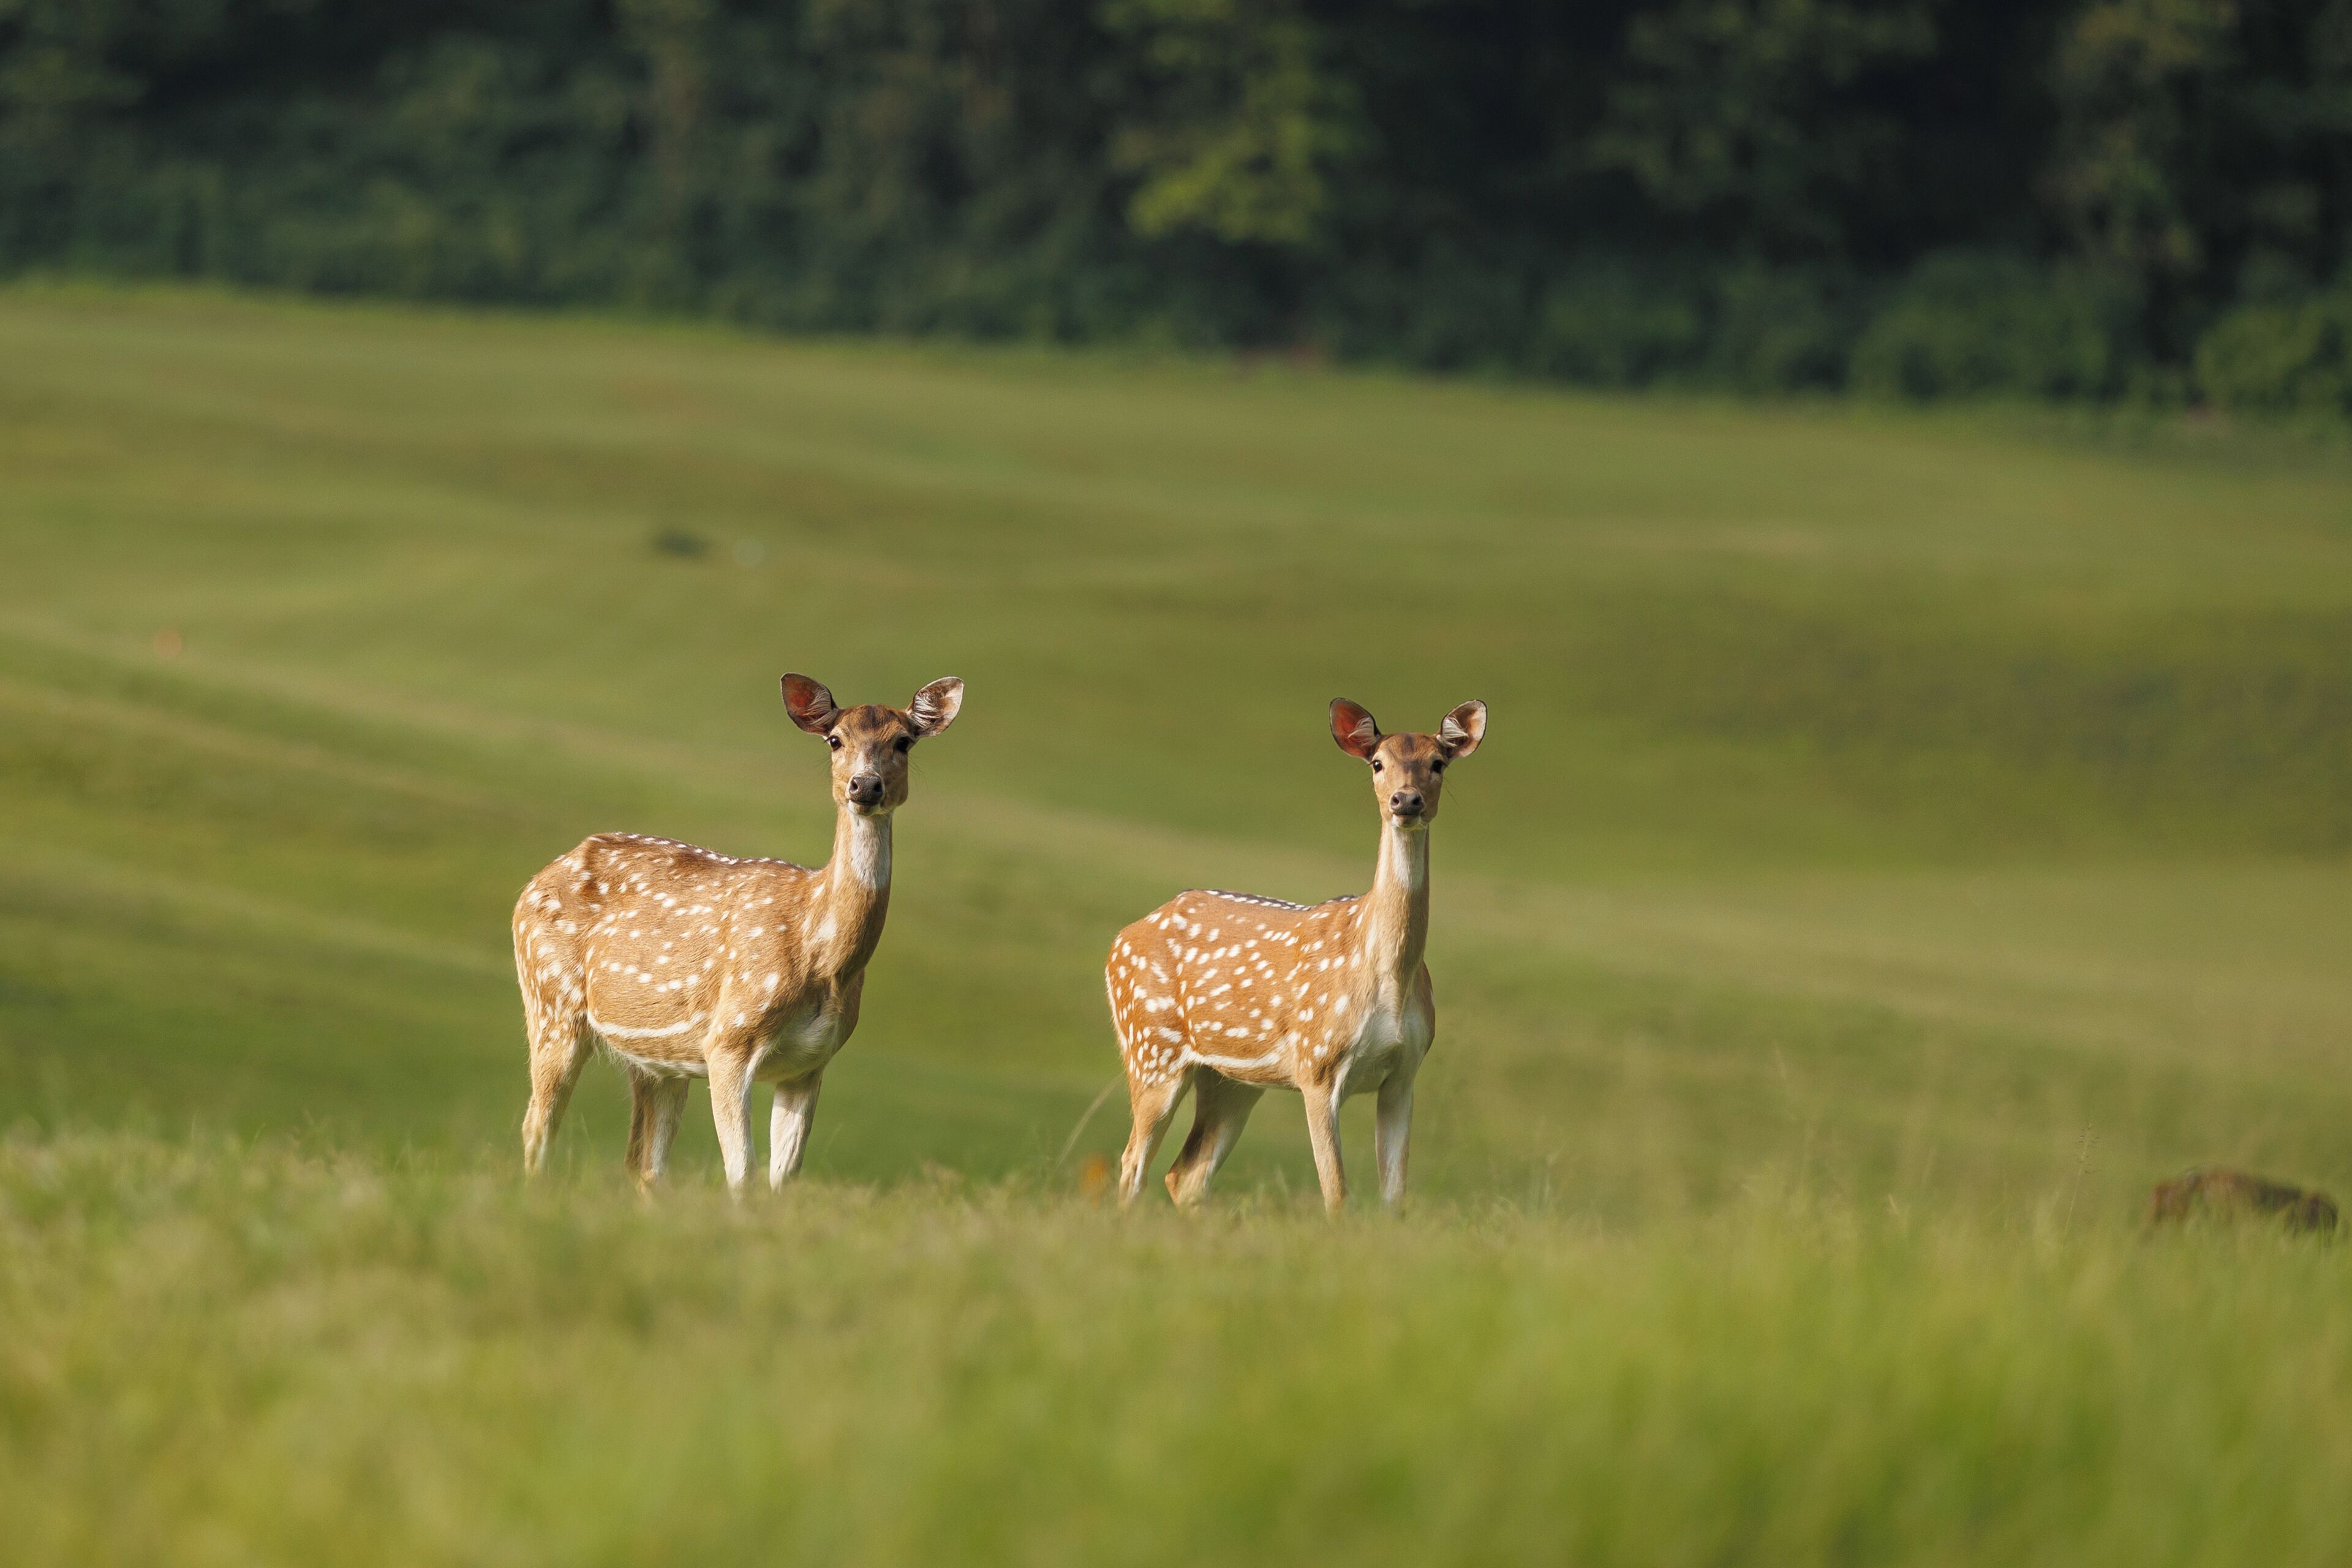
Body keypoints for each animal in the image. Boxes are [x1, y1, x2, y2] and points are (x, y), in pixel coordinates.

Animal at [512, 674, 963, 1194]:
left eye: (903, 741)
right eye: (835, 740)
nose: (865, 785)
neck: (817, 953)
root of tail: (533, 883)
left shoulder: (812, 1063)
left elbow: (782, 1178)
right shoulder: (729, 1038)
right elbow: (742, 1173)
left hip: (657, 1059)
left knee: (644, 1164)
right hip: (551, 1002)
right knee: (537, 1127)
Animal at [1105, 697, 1488, 1212]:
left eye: (1438, 763)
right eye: (1377, 763)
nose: (1406, 801)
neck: (1387, 978)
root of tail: (1120, 940)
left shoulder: (1405, 1073)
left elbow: (1394, 1200)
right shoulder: (1318, 1065)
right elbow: (1337, 1195)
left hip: (1231, 1080)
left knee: (1186, 1174)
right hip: (1151, 1048)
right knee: (1133, 1164)